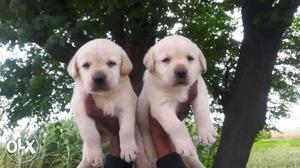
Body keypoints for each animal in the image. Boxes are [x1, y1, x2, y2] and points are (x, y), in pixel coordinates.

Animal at [68, 39, 148, 168]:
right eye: (86, 65)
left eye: (111, 63)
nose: (99, 78)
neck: (104, 95)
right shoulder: (80, 108)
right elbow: (90, 134)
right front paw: (95, 156)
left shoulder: (126, 106)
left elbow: (126, 130)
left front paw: (128, 150)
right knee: (86, 153)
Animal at [137, 34, 217, 167]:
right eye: (166, 60)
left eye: (190, 58)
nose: (181, 71)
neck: (177, 89)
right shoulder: (161, 105)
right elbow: (176, 125)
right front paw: (185, 144)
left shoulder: (199, 88)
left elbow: (202, 110)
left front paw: (207, 132)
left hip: (190, 158)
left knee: (195, 162)